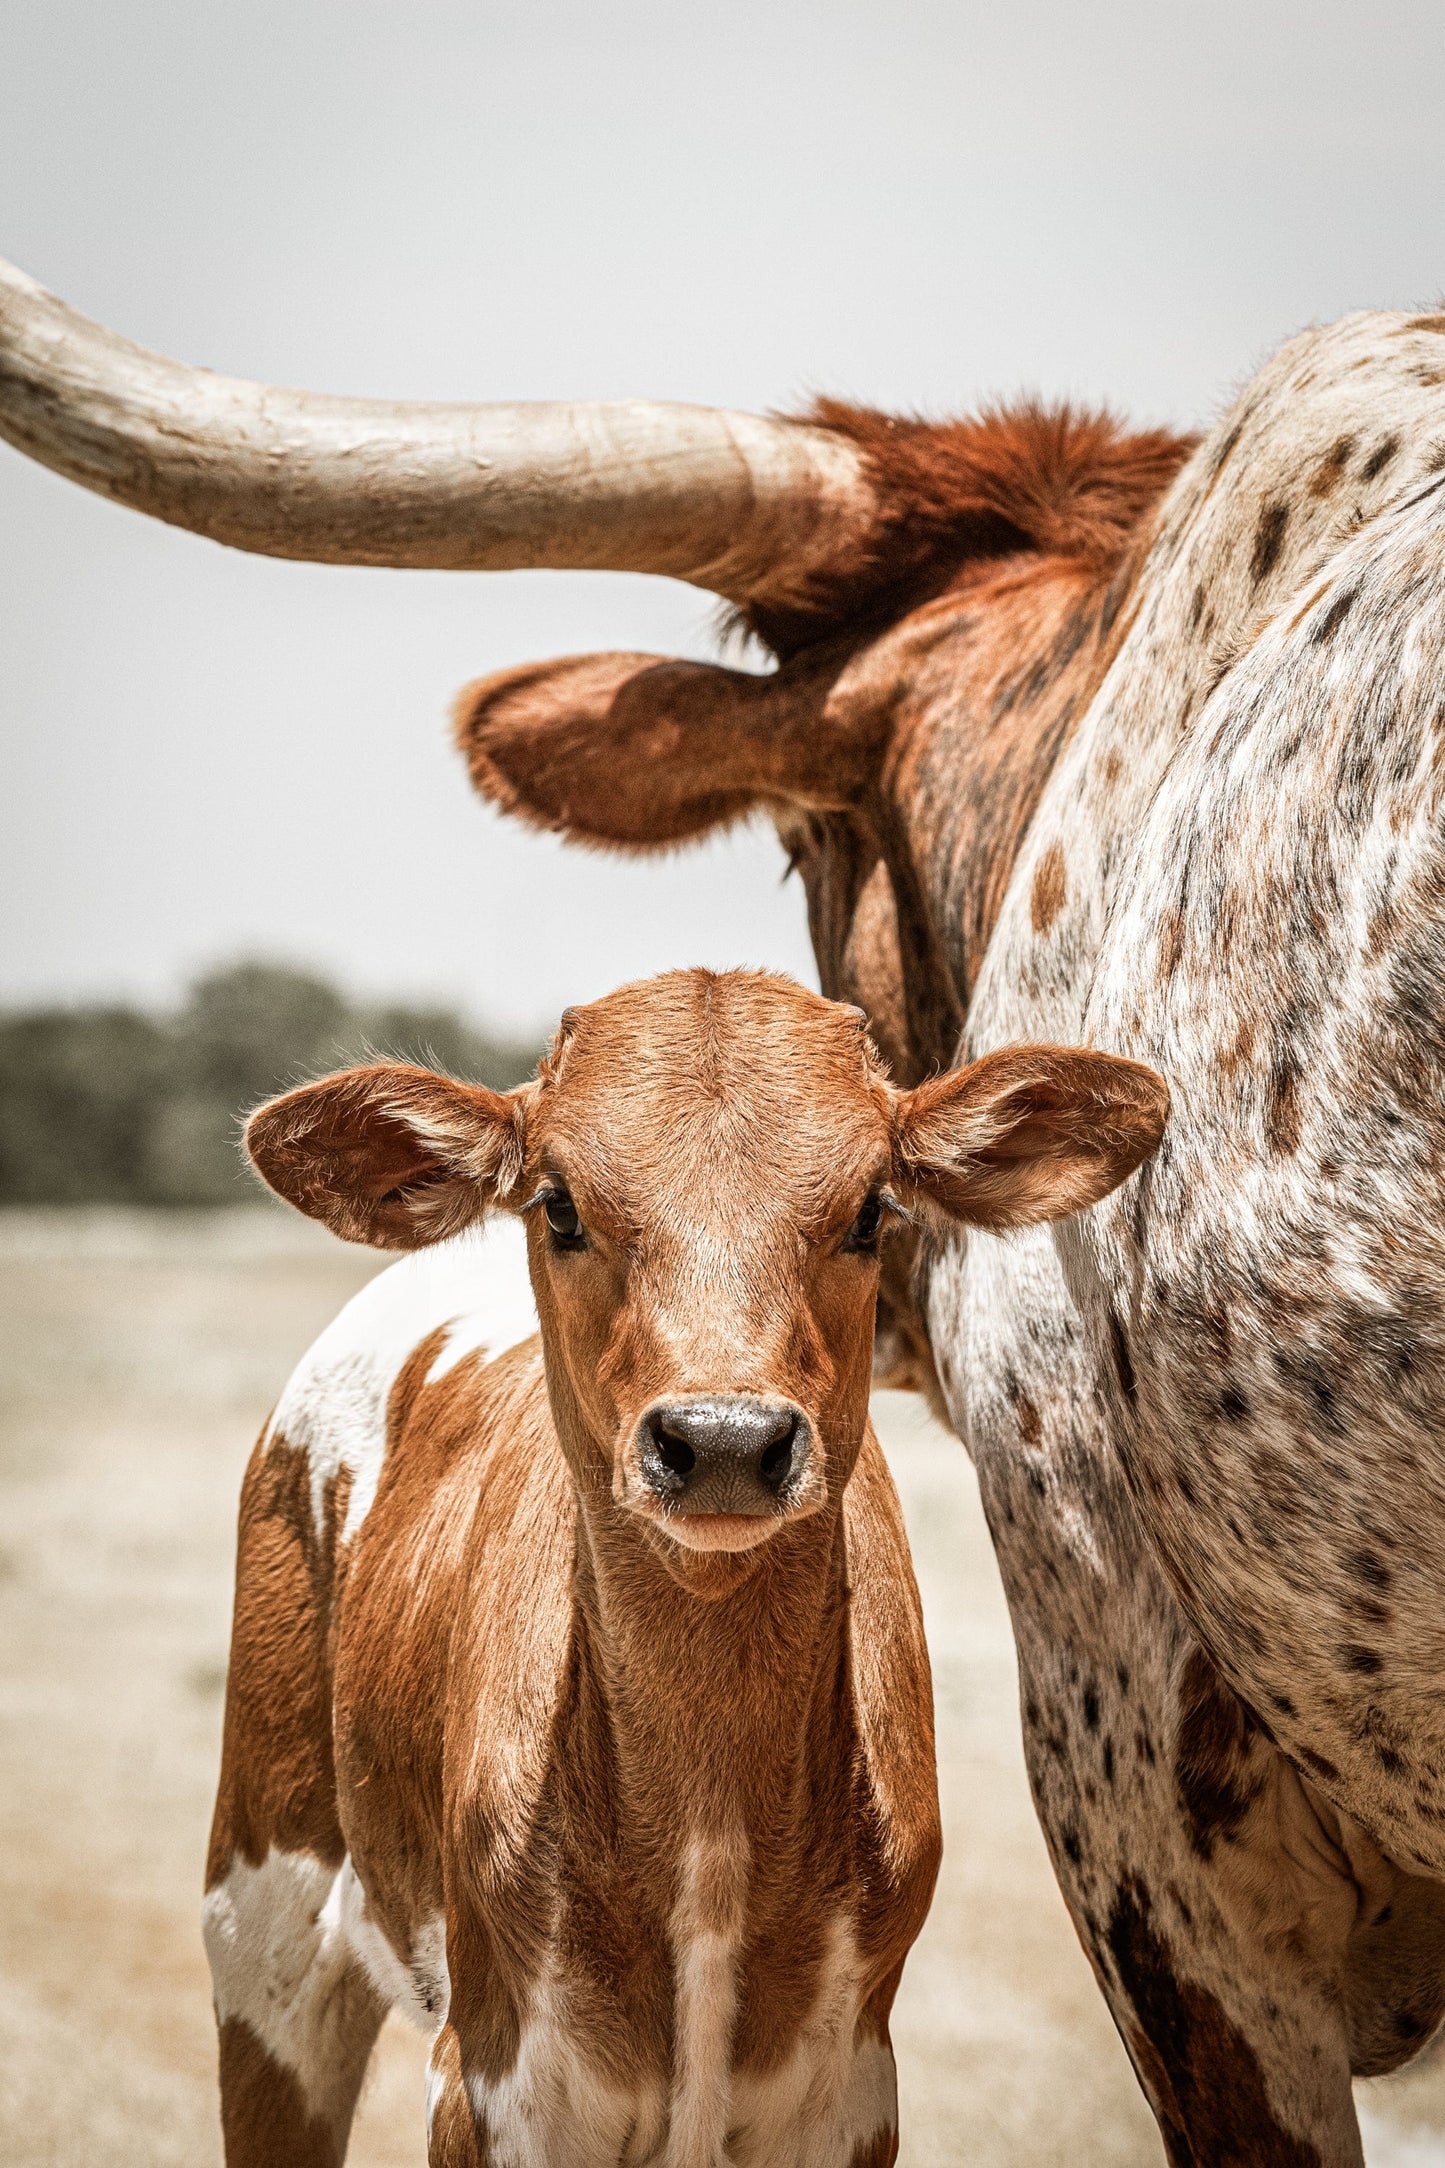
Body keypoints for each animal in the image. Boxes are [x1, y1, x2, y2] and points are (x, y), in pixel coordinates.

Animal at [209, 971, 1169, 2168]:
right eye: (559, 1205)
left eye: (871, 1209)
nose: (721, 1439)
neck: (708, 1814)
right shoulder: (499, 2081)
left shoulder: (845, 2089)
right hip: (261, 1926)